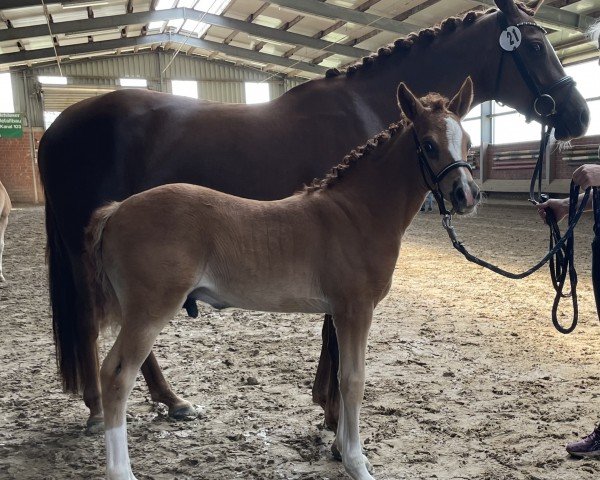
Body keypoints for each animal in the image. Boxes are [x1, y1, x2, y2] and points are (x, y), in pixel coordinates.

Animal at [84, 79, 480, 480]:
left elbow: (341, 377)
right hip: (149, 311)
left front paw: (342, 448)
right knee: (116, 376)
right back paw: (122, 471)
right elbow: (353, 381)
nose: (467, 195)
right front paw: (356, 462)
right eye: (428, 144)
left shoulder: (339, 313)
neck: (356, 213)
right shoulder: (355, 309)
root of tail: (116, 210)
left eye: (467, 142)